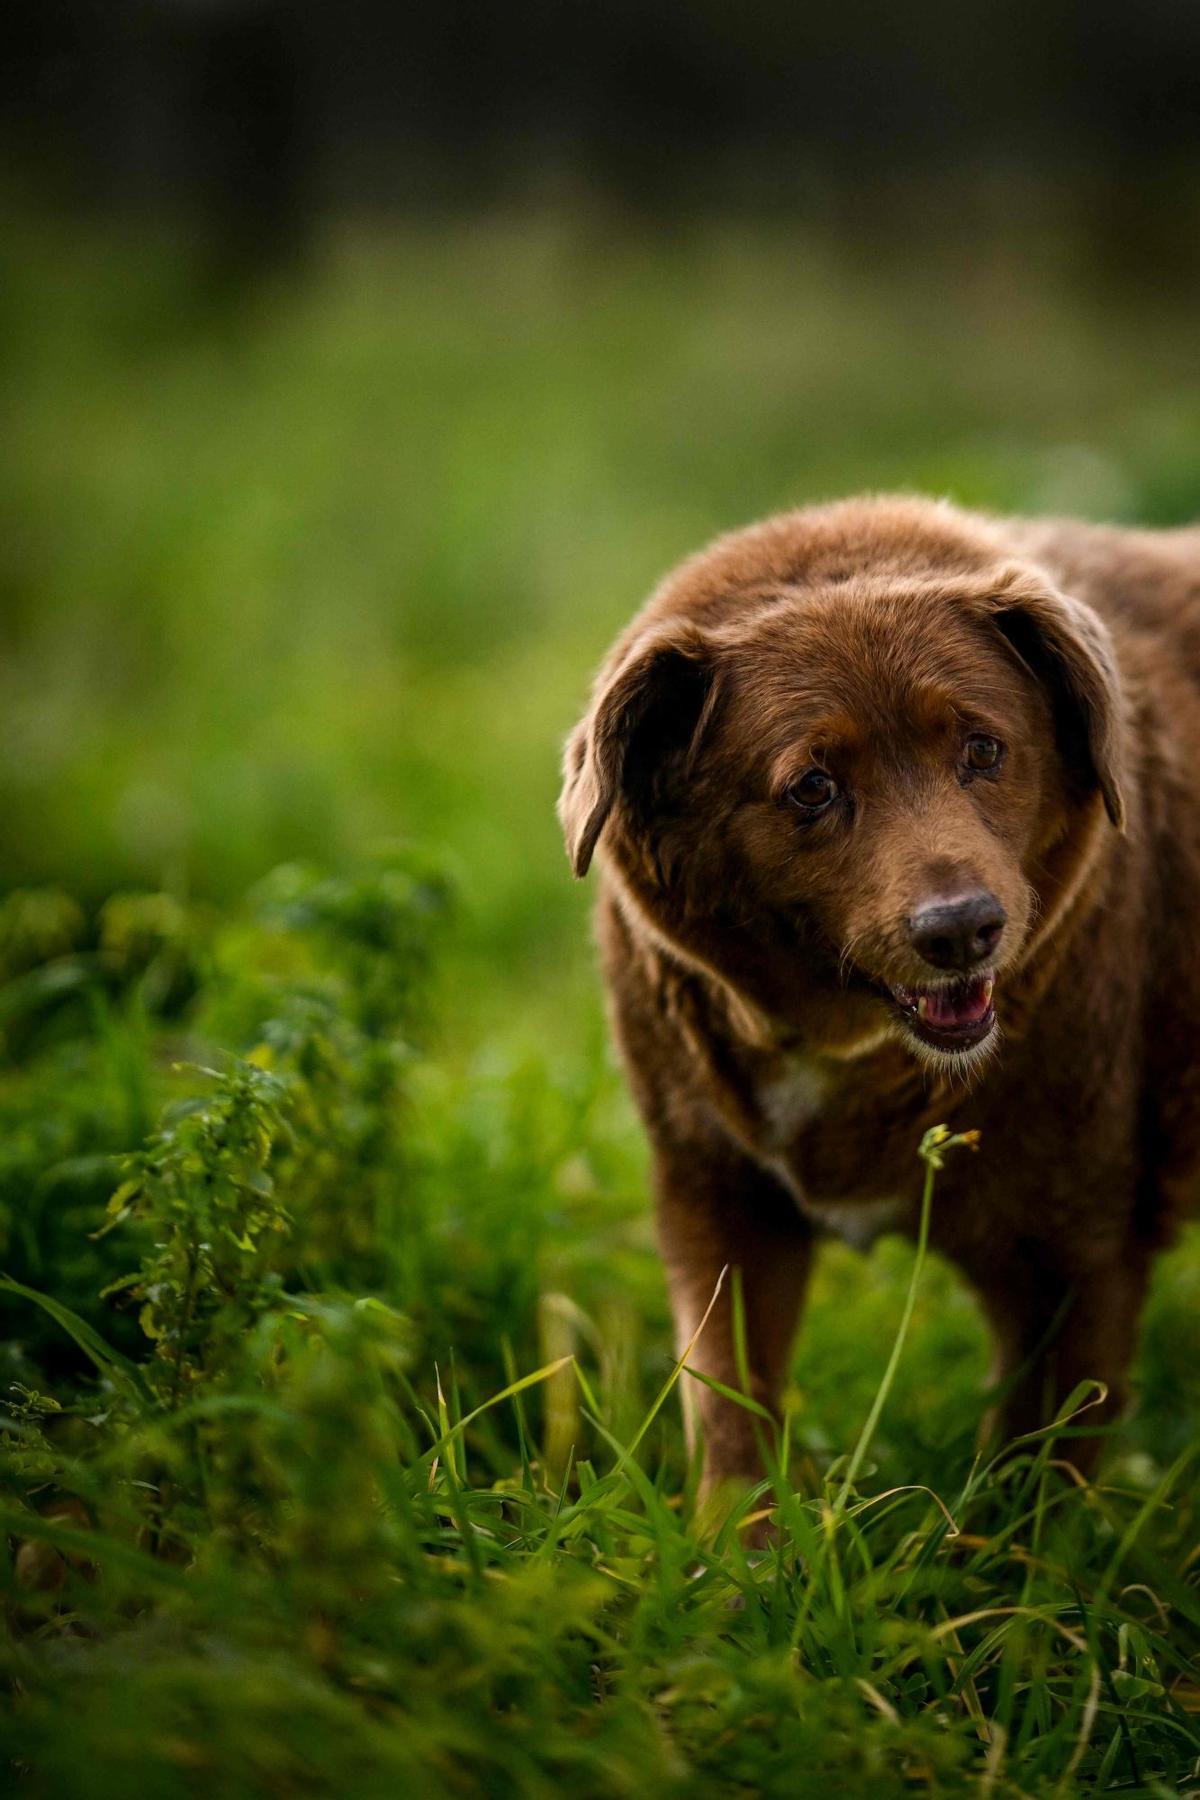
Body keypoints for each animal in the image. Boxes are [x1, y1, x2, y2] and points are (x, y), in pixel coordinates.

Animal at [557, 489, 1200, 1504]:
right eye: (812, 787)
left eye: (984, 748)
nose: (961, 929)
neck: (846, 1052)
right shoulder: (718, 1200)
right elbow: (727, 1412)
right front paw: (733, 1546)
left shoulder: (1081, 1252)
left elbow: (1037, 1479)